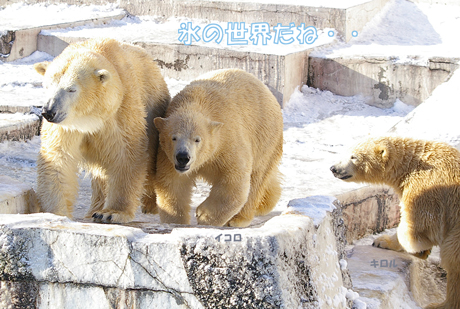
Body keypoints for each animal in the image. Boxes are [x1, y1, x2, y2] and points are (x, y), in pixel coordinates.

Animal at [34, 38, 170, 221]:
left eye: (71, 89)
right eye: (47, 86)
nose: (49, 111)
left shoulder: (120, 112)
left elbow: (126, 155)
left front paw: (111, 213)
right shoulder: (67, 126)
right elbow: (58, 157)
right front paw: (56, 212)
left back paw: (150, 205)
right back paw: (93, 210)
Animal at [155, 68, 284, 226]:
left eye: (197, 140)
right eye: (173, 137)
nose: (183, 157)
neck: (196, 102)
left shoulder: (227, 141)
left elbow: (234, 182)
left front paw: (203, 215)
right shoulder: (167, 156)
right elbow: (173, 184)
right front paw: (176, 221)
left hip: (265, 137)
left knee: (257, 178)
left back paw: (239, 219)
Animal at [330, 136, 460, 306]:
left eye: (353, 156)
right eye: (346, 151)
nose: (333, 168)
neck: (413, 165)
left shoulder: (427, 188)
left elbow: (416, 225)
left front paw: (416, 249)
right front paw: (383, 241)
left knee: (453, 258)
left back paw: (441, 304)